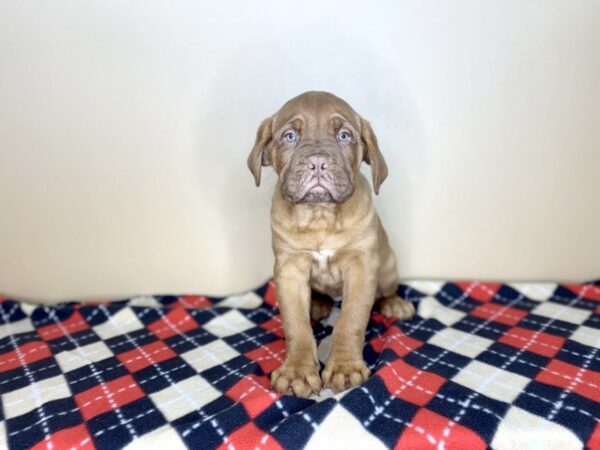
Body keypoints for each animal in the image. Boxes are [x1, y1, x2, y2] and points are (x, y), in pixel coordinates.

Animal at [246, 91, 414, 398]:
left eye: (344, 136)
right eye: (289, 136)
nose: (317, 162)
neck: (320, 216)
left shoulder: (361, 269)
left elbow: (351, 321)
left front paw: (346, 366)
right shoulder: (289, 271)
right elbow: (296, 325)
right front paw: (297, 371)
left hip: (387, 267)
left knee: (385, 291)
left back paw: (394, 304)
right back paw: (319, 303)